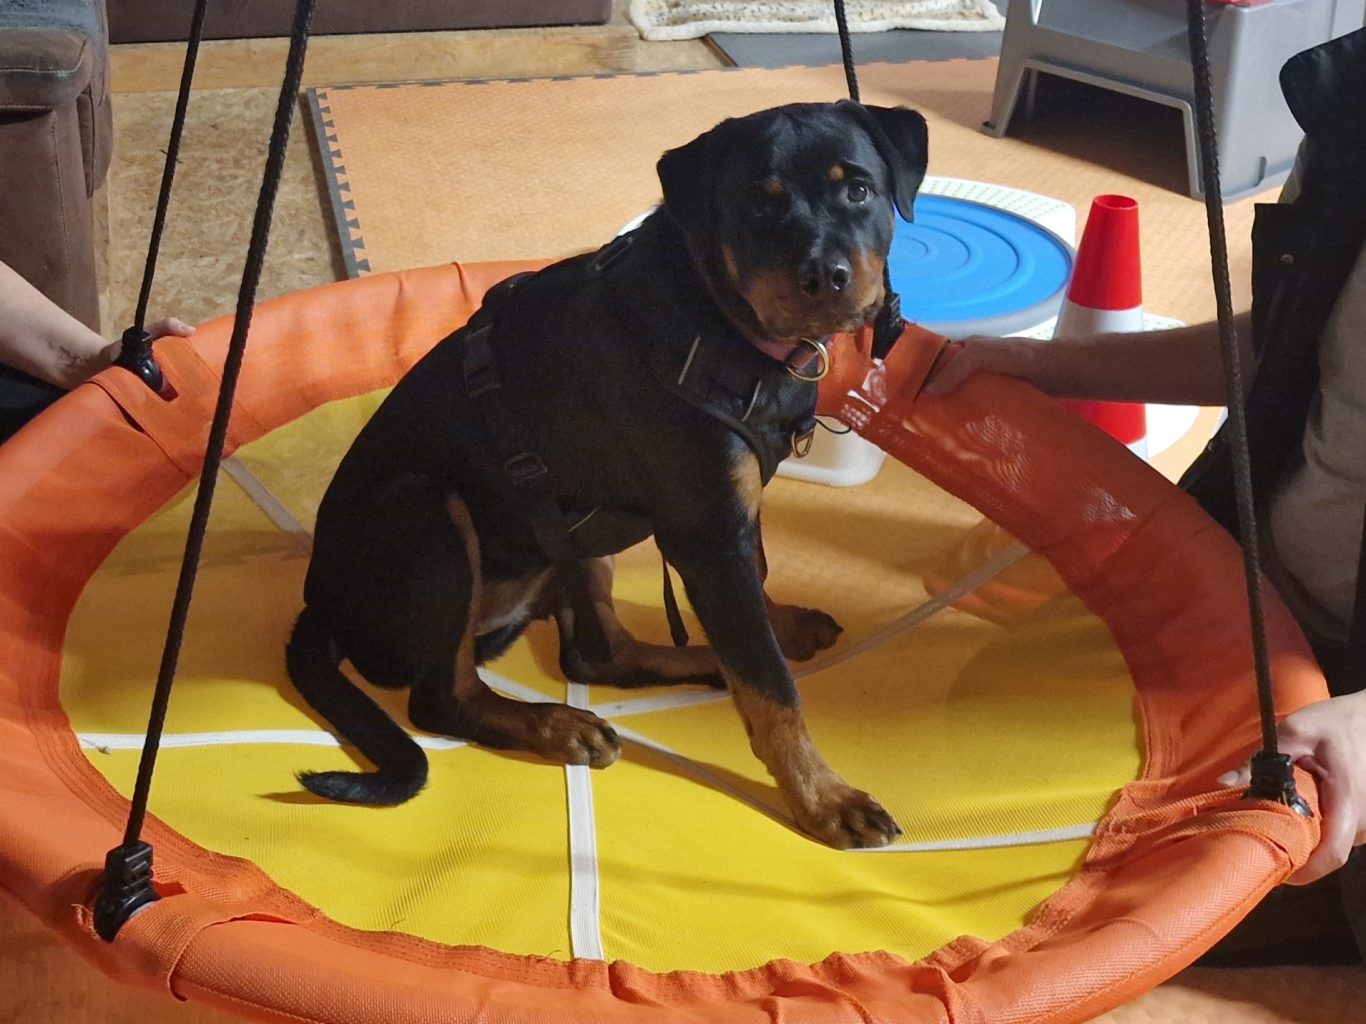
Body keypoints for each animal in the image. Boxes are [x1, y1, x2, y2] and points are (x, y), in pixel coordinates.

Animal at [285, 100, 928, 849]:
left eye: (859, 190)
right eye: (757, 207)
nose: (824, 275)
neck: (722, 319)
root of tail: (319, 604)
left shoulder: (731, 514)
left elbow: (757, 608)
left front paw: (781, 629)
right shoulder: (708, 532)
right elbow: (770, 685)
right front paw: (824, 798)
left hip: (576, 538)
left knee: (596, 654)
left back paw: (697, 666)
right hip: (428, 512)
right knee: (443, 697)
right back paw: (555, 724)